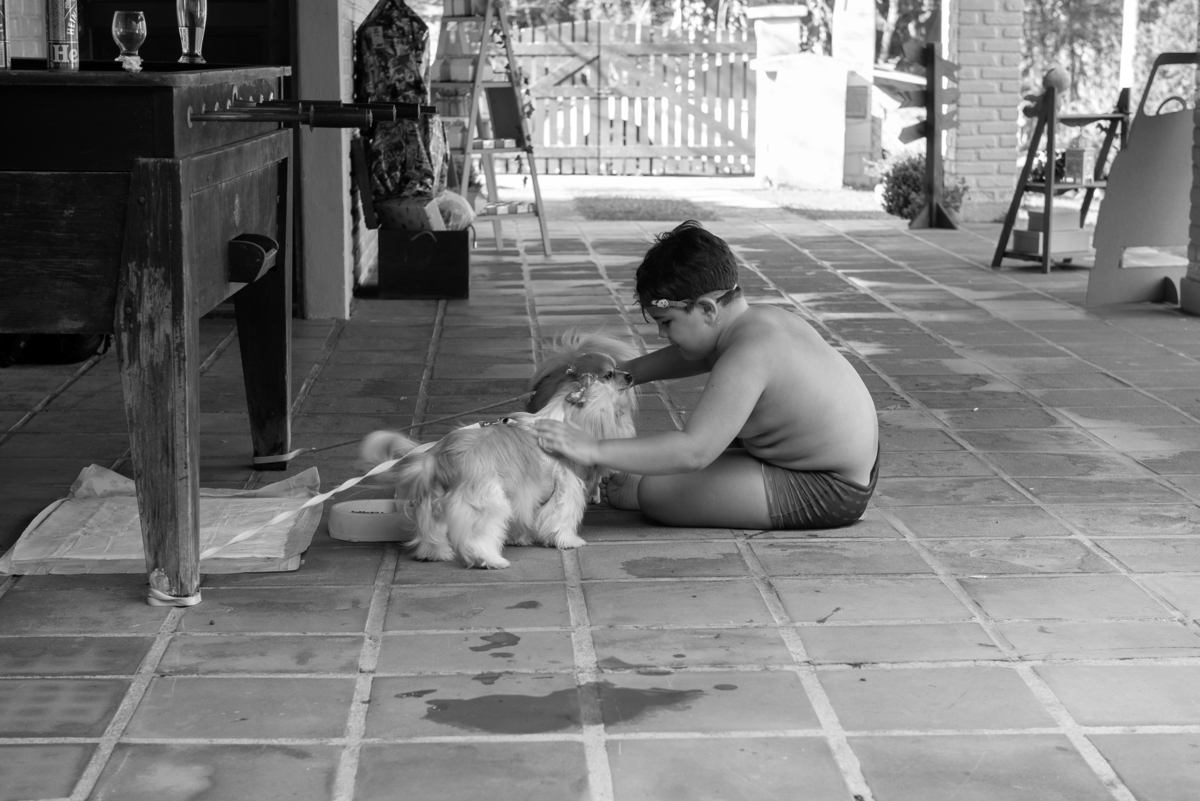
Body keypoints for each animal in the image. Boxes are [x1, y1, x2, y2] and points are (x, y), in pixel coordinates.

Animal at [360, 332, 638, 569]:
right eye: (610, 374)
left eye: (618, 368)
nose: (630, 375)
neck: (567, 414)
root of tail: (438, 458)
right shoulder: (565, 488)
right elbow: (562, 518)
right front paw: (569, 542)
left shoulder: (525, 494)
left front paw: (520, 538)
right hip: (487, 502)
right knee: (476, 538)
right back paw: (491, 560)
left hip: (433, 505)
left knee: (431, 534)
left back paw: (435, 554)